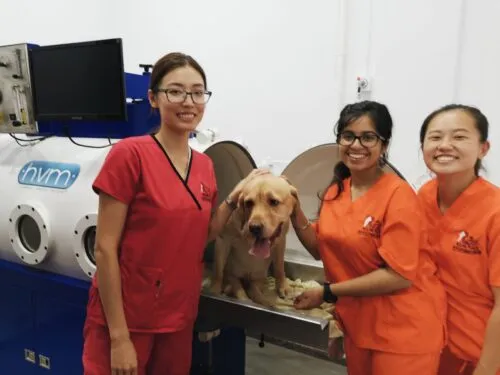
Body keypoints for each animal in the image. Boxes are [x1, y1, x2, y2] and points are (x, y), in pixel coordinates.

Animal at [208, 174, 296, 308]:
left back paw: (265, 301)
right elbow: (218, 271)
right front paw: (214, 290)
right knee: (237, 287)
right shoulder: (223, 240)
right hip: (233, 274)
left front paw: (283, 286)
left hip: (258, 278)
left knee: (253, 290)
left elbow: (280, 267)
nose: (255, 227)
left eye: (274, 202)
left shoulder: (281, 241)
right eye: (248, 203)